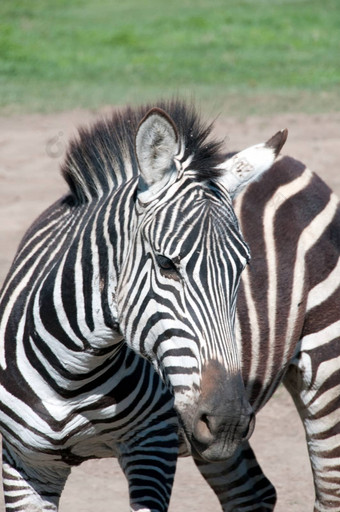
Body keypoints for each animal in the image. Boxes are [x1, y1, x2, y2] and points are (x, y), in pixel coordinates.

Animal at [0, 101, 286, 512]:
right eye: (166, 264)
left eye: (242, 267)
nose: (228, 421)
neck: (73, 376)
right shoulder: (24, 463)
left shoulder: (154, 445)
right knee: (250, 491)